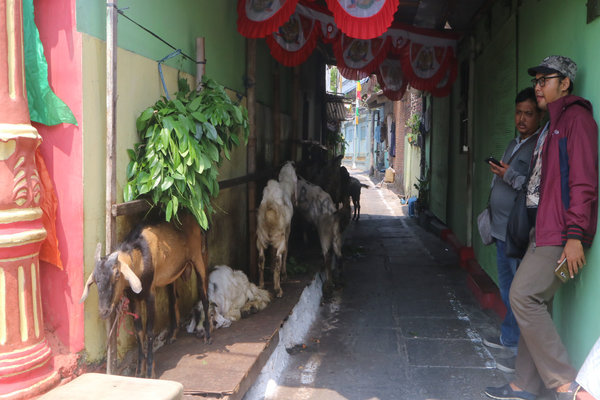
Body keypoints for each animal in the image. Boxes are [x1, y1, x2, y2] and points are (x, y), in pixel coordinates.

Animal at [79, 214, 211, 376]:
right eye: (96, 279)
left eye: (117, 275)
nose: (104, 311)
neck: (140, 257)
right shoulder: (133, 300)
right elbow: (138, 332)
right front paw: (138, 371)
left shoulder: (150, 295)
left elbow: (149, 331)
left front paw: (149, 370)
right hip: (173, 273)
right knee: (173, 299)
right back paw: (172, 335)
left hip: (198, 256)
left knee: (204, 295)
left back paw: (208, 335)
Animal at [255, 161, 298, 296]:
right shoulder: (287, 231)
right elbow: (286, 251)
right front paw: (284, 275)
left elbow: (272, 253)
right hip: (280, 237)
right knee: (279, 257)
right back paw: (278, 289)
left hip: (261, 237)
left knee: (261, 259)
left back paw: (262, 284)